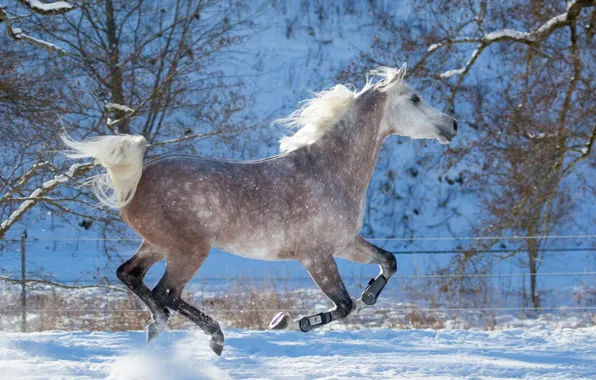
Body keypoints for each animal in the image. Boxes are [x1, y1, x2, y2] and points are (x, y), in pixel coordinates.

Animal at [62, 63, 458, 356]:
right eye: (415, 98)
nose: (452, 125)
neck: (329, 170)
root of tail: (136, 177)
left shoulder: (345, 243)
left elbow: (388, 262)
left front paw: (370, 295)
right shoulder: (315, 255)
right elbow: (344, 305)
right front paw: (293, 322)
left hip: (158, 245)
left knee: (131, 276)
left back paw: (158, 328)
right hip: (189, 250)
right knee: (166, 293)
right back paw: (214, 338)